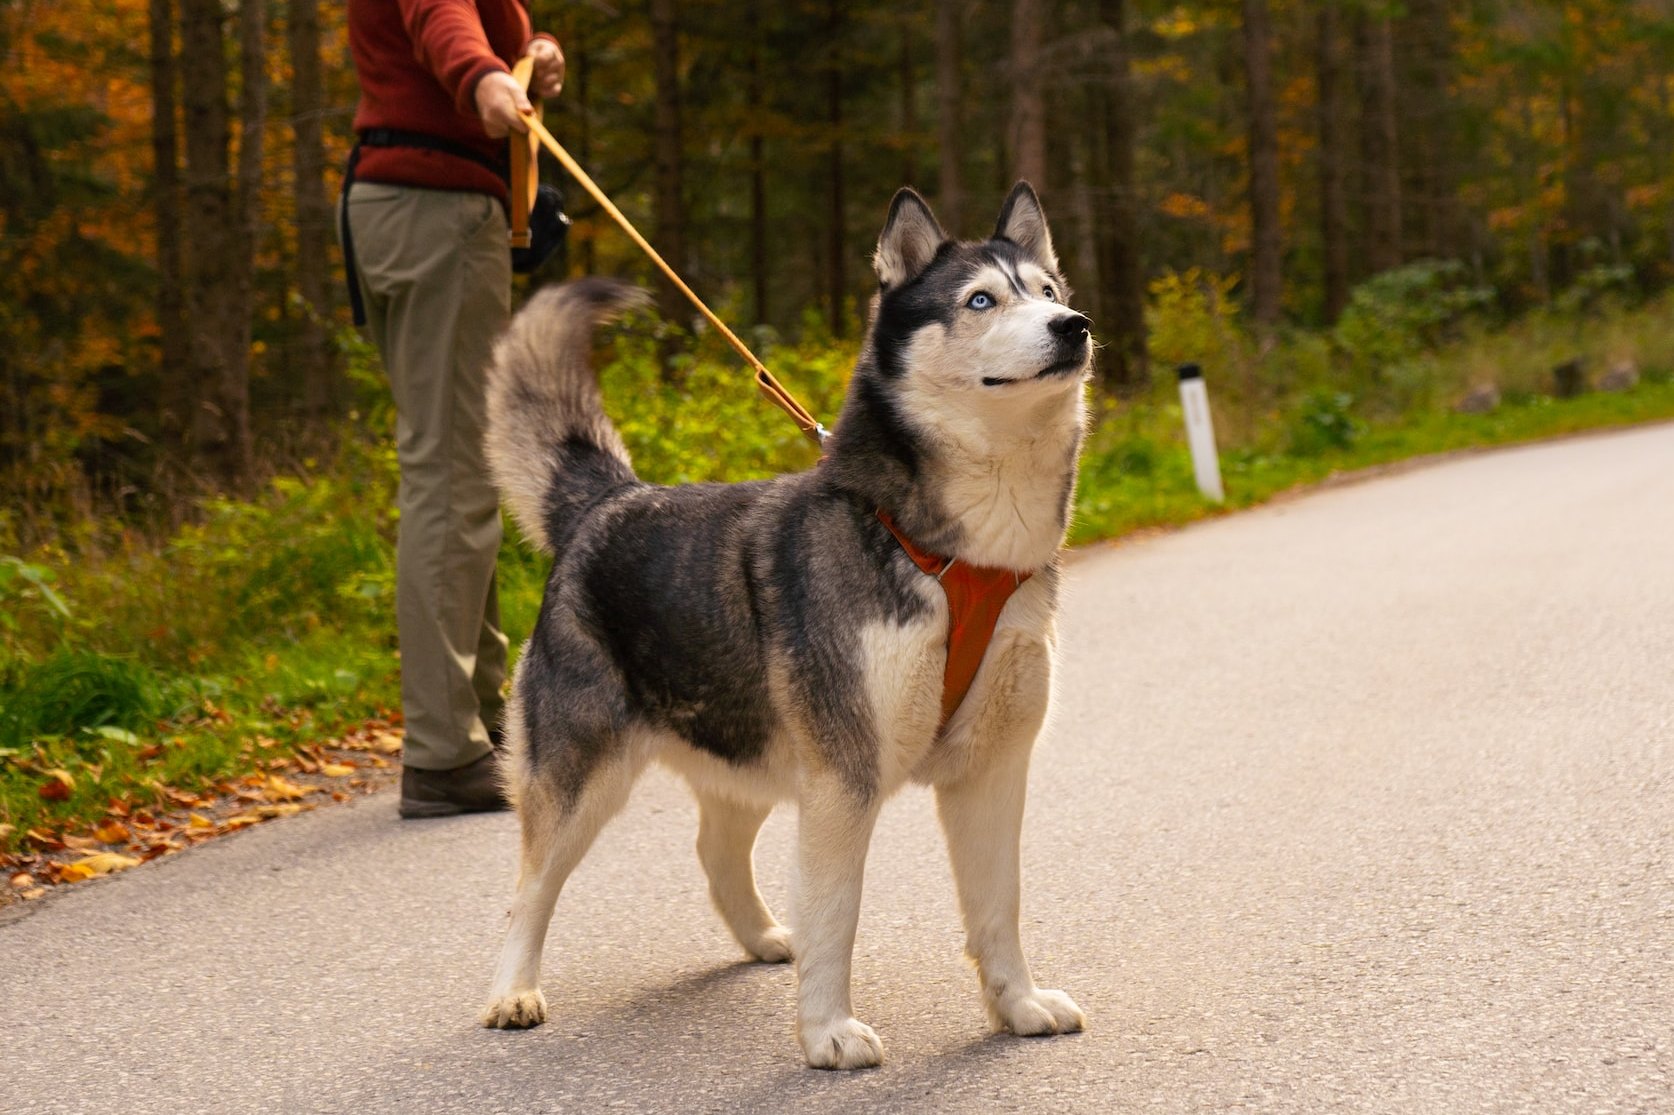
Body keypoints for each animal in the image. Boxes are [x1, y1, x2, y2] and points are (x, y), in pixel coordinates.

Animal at [478, 184, 1091, 1071]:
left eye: (1047, 290)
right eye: (982, 300)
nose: (1074, 325)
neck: (961, 554)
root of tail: (610, 499)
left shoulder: (993, 769)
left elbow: (998, 905)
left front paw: (1018, 1005)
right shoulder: (844, 775)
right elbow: (837, 912)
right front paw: (828, 1030)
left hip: (750, 748)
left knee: (715, 849)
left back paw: (768, 935)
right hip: (580, 773)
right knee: (530, 884)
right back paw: (513, 989)